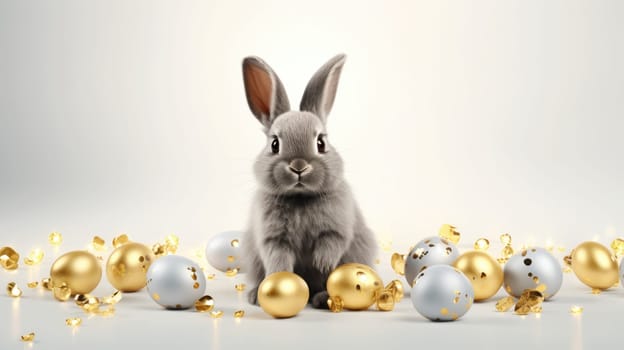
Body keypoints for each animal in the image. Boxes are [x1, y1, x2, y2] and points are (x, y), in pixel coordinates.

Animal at [240, 54, 376, 308]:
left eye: (321, 143)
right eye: (275, 144)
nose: (299, 166)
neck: (300, 198)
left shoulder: (337, 227)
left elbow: (332, 242)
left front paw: (321, 263)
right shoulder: (273, 238)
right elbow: (278, 257)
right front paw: (281, 277)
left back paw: (322, 298)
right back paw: (255, 296)